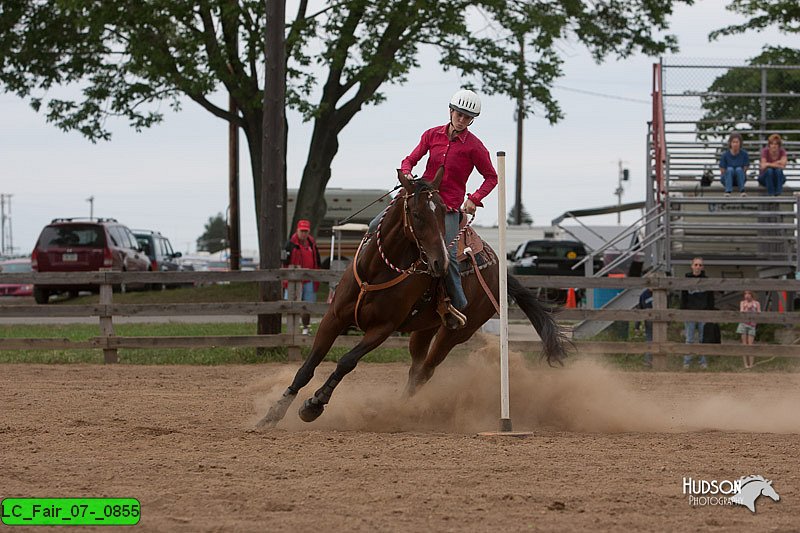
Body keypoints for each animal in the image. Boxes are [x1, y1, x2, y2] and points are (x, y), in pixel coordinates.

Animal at [258, 168, 568, 426]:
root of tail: (498, 269)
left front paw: (313, 405)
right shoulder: (334, 318)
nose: (440, 263)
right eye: (417, 215)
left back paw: (397, 411)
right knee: (416, 370)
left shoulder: (382, 329)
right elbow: (309, 365)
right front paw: (273, 413)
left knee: (426, 371)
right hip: (424, 329)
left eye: (443, 214)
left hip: (456, 333)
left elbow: (347, 361)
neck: (376, 270)